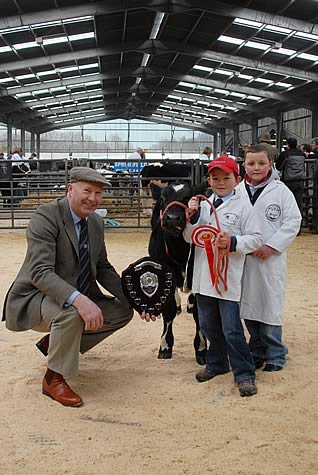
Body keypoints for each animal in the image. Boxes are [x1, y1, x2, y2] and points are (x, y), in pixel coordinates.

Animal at [148, 181, 207, 364]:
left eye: (189, 198)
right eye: (162, 198)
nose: (173, 218)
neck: (179, 250)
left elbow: (200, 313)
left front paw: (201, 348)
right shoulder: (165, 273)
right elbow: (169, 311)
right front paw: (165, 345)